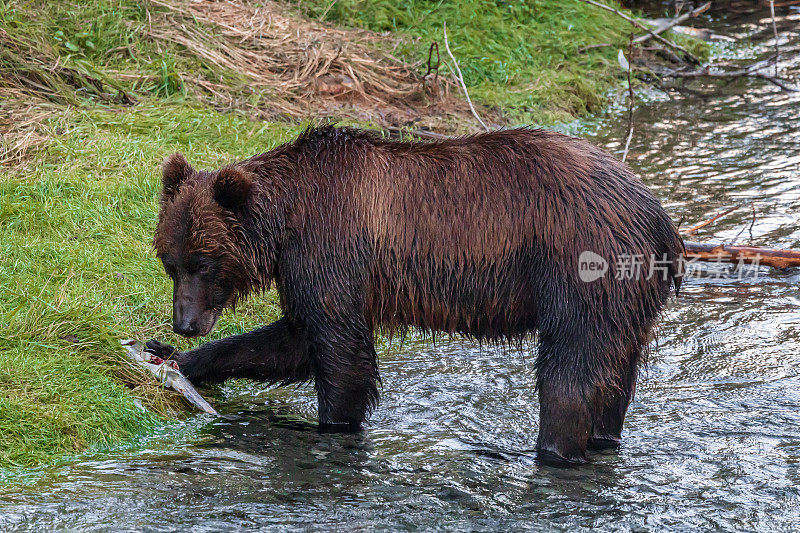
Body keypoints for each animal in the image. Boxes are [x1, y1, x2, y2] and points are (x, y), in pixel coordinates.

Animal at [147, 127, 684, 464]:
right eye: (170, 261)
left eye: (204, 263)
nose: (184, 324)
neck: (287, 220)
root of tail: (658, 217)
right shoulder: (307, 270)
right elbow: (292, 342)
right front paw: (176, 358)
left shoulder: (331, 248)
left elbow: (341, 356)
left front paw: (334, 427)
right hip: (629, 301)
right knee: (615, 376)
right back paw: (603, 439)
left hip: (579, 268)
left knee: (569, 372)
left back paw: (550, 451)